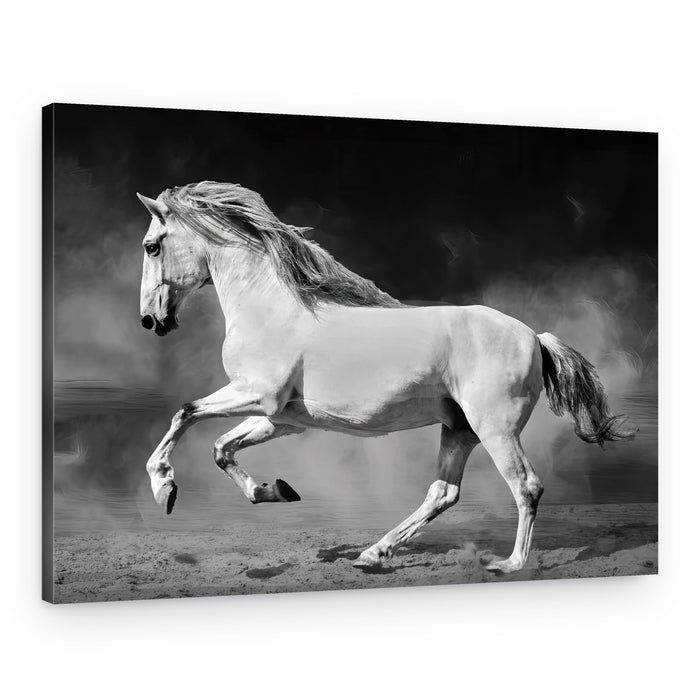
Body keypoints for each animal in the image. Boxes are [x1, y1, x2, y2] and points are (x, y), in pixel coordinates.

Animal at [137, 181, 633, 573]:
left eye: (151, 246)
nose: (150, 320)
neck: (269, 310)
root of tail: (535, 336)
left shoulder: (256, 396)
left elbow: (185, 413)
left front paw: (164, 489)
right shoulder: (283, 418)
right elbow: (221, 448)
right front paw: (274, 490)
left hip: (495, 429)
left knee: (525, 486)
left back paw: (509, 565)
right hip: (460, 429)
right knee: (443, 493)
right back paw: (372, 553)